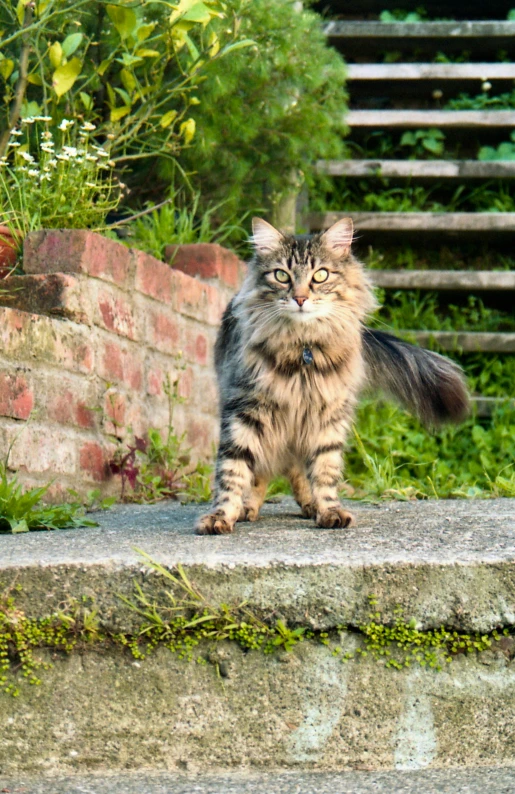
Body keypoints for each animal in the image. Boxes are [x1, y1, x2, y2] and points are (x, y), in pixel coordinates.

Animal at [196, 217, 470, 532]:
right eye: (281, 275)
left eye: (320, 275)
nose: (300, 298)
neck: (302, 350)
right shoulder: (244, 409)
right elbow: (233, 470)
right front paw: (222, 515)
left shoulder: (328, 416)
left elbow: (325, 470)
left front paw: (328, 510)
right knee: (264, 470)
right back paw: (249, 507)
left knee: (295, 469)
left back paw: (309, 504)